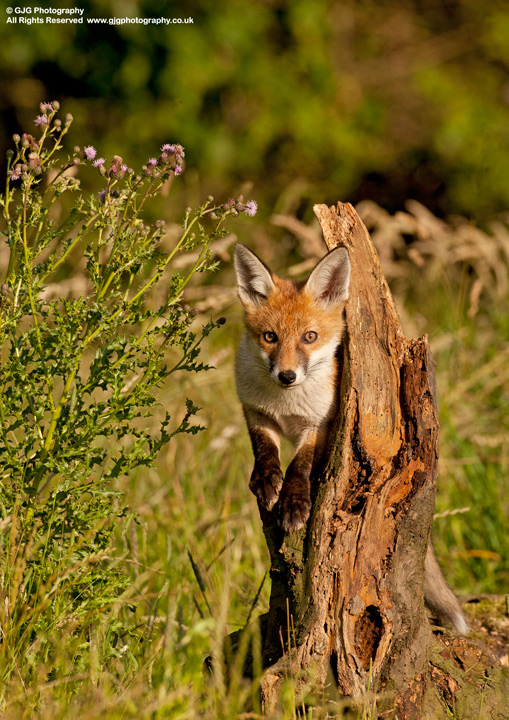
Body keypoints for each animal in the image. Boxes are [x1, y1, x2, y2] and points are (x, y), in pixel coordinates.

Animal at [234, 242, 468, 635]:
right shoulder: (255, 411)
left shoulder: (322, 423)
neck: (286, 405)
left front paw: (294, 503)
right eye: (269, 337)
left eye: (309, 337)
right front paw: (266, 481)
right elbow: (264, 450)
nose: (287, 376)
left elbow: (300, 465)